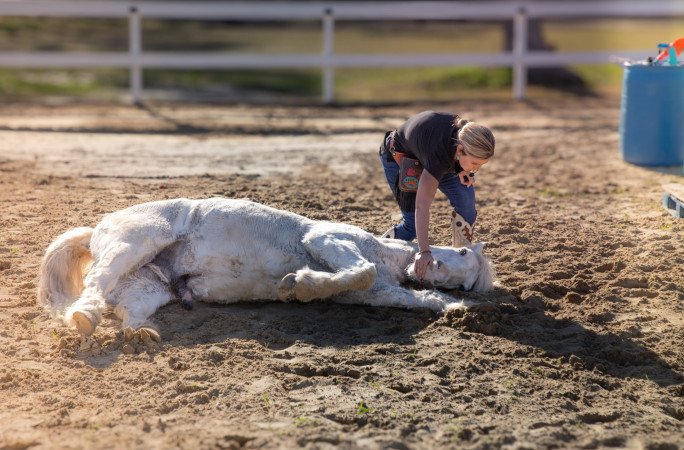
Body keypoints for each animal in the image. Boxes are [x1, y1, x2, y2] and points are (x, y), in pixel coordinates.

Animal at [38, 198, 495, 340]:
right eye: (464, 252)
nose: (465, 286)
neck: (388, 256)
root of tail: (96, 229)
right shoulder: (326, 240)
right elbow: (361, 269)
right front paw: (299, 285)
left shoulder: (379, 294)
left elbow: (415, 298)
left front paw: (459, 310)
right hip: (133, 244)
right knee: (95, 285)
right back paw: (83, 318)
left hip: (147, 288)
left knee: (124, 309)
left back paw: (141, 335)